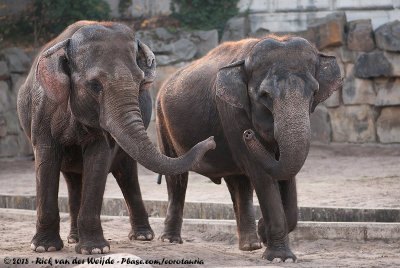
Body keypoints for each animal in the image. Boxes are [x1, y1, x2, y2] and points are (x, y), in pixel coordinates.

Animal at [16, 21, 216, 255]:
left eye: (140, 83)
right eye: (95, 85)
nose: (212, 140)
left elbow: (98, 159)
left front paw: (94, 250)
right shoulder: (42, 112)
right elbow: (46, 160)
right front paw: (44, 248)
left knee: (126, 174)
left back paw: (142, 237)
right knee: (74, 180)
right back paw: (74, 239)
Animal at [155, 35, 342, 262]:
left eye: (314, 92)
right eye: (265, 94)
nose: (248, 134)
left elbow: (285, 174)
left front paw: (264, 233)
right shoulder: (232, 112)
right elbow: (262, 174)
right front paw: (279, 257)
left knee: (239, 183)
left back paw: (250, 246)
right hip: (162, 122)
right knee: (177, 178)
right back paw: (170, 240)